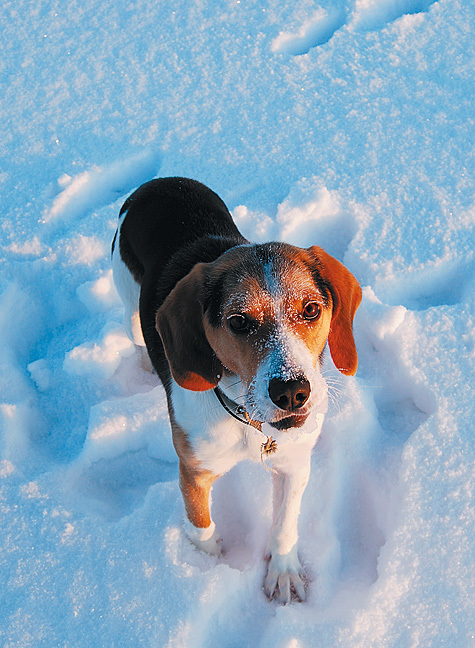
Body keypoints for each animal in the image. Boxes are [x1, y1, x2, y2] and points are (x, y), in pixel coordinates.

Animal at [111, 176, 362, 604]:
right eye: (239, 321)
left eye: (311, 309)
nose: (292, 392)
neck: (249, 423)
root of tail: (157, 183)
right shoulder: (193, 470)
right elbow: (202, 528)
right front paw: (206, 572)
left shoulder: (295, 463)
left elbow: (285, 525)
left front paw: (283, 573)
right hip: (126, 290)